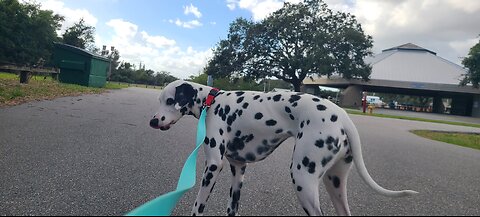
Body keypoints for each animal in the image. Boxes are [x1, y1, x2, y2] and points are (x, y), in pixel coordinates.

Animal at [150, 80, 416, 215]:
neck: (212, 101)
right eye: (160, 100)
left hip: (302, 179)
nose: (152, 122)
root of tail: (342, 116)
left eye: (170, 101)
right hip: (335, 183)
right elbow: (231, 209)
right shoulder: (238, 171)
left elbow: (198, 205)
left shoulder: (213, 166)